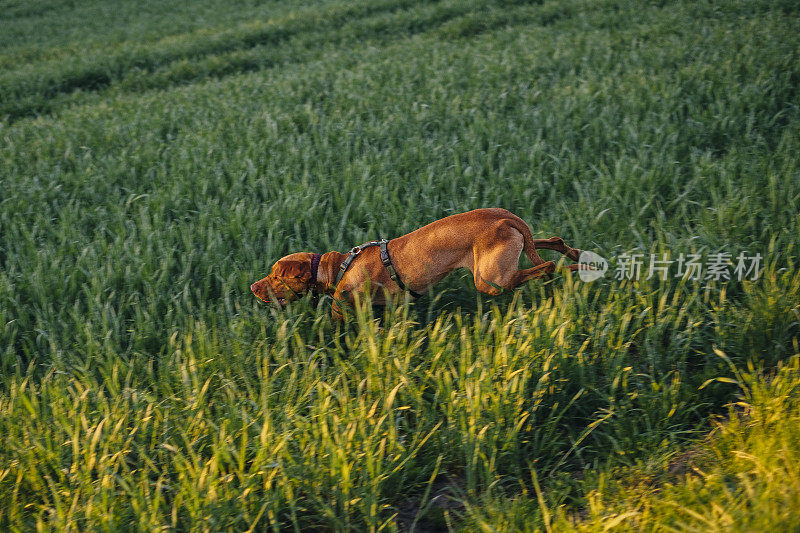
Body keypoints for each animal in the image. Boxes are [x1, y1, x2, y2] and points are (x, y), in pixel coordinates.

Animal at [253, 207, 584, 316]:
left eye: (276, 277)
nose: (253, 288)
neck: (337, 268)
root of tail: (506, 216)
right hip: (517, 250)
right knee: (554, 242)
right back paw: (580, 264)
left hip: (490, 279)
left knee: (546, 267)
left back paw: (564, 273)